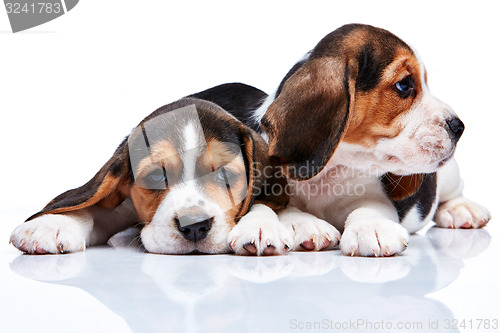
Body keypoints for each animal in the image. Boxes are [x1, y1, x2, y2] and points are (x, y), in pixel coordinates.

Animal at [10, 97, 296, 253]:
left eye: (225, 173)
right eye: (157, 176)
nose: (195, 227)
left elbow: (260, 200)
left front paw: (260, 225)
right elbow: (90, 209)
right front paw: (52, 225)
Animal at [191, 24, 492, 256]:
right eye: (404, 85)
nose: (459, 126)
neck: (328, 173)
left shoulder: (374, 196)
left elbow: (369, 209)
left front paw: (371, 229)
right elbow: (274, 205)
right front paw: (295, 224)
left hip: (449, 174)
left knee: (451, 192)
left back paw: (462, 210)